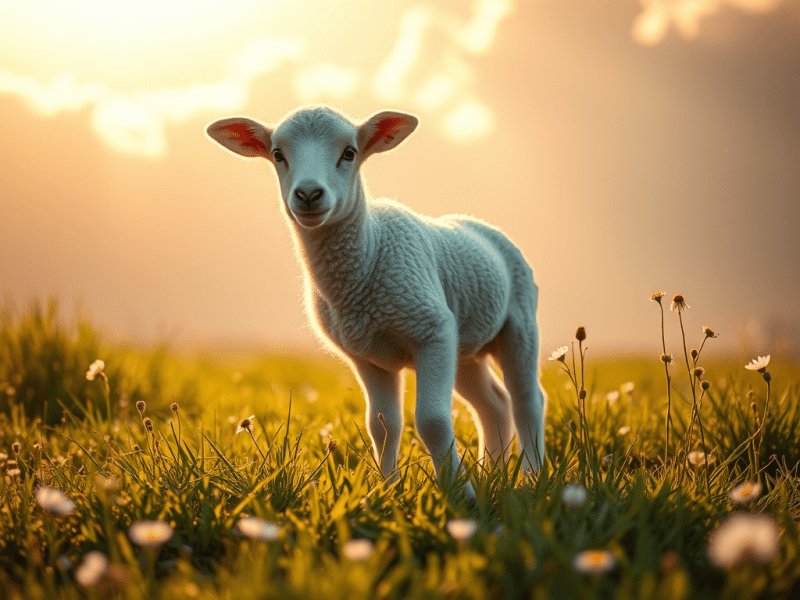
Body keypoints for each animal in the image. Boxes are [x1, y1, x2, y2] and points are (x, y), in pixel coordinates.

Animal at [206, 105, 546, 499]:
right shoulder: (368, 356)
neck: (369, 252)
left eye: (349, 152)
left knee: (527, 400)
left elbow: (432, 421)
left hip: (519, 322)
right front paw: (387, 493)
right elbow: (382, 426)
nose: (308, 193)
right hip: (462, 346)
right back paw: (493, 471)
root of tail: (480, 224)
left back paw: (532, 477)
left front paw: (460, 495)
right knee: (493, 404)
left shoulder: (431, 329)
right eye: (278, 155)